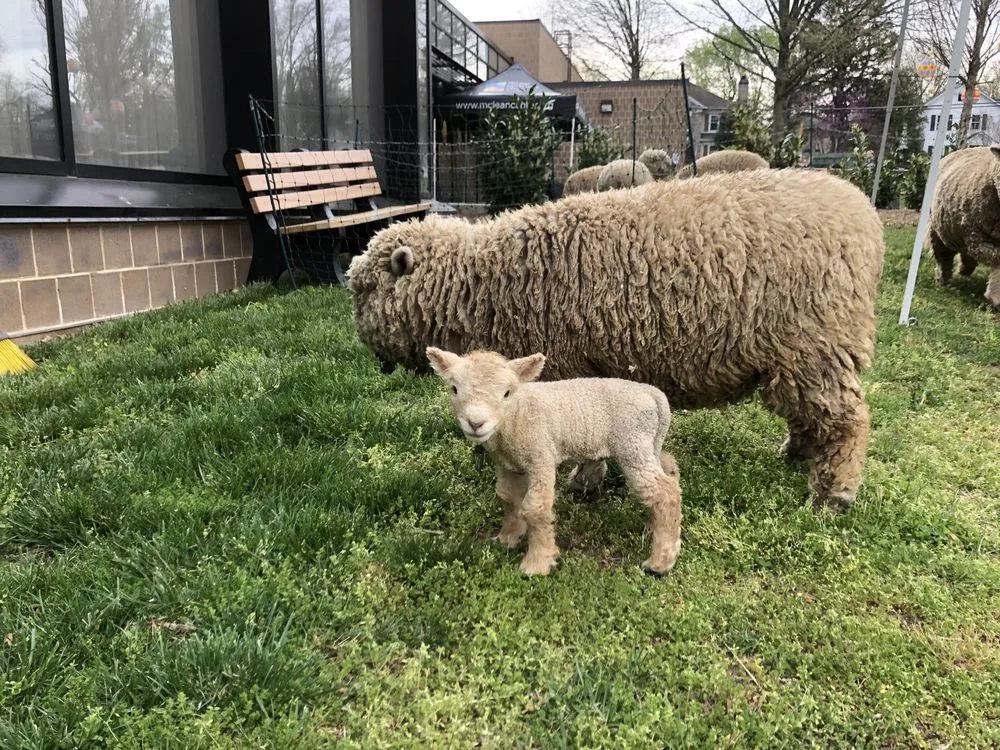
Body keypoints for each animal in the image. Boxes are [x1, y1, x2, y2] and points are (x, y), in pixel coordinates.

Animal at [348, 167, 885, 512]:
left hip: (816, 344)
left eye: (364, 290)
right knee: (812, 415)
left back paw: (834, 492)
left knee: (848, 419)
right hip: (800, 354)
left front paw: (583, 484)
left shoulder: (571, 365)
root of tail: (862, 213)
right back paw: (798, 454)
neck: (486, 280)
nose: (368, 352)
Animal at [425, 346, 682, 576]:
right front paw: (508, 537)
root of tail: (655, 395)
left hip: (632, 444)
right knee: (669, 470)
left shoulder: (540, 457)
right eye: (454, 389)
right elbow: (508, 498)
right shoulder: (507, 464)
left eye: (507, 393)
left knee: (665, 493)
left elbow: (535, 508)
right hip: (648, 444)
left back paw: (660, 562)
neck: (515, 415)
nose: (476, 423)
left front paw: (537, 563)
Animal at [928, 145, 1000, 308]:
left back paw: (964, 269)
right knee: (944, 258)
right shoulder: (977, 237)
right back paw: (944, 280)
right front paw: (995, 297)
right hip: (939, 231)